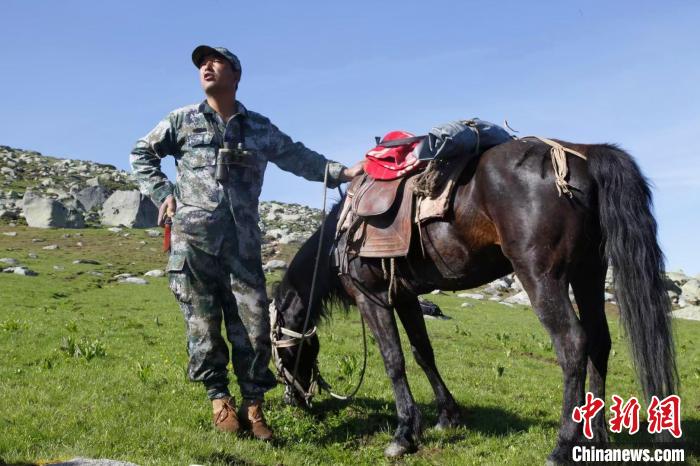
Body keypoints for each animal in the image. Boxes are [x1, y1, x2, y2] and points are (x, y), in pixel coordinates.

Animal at [270, 138, 680, 462]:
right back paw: (594, 438)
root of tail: (583, 154)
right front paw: (446, 417)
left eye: (279, 349)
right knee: (599, 343)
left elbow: (393, 360)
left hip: (543, 277)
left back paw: (563, 446)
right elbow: (423, 353)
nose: (294, 400)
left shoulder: (372, 298)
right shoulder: (405, 297)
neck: (341, 235)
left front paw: (404, 434)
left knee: (573, 344)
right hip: (588, 274)